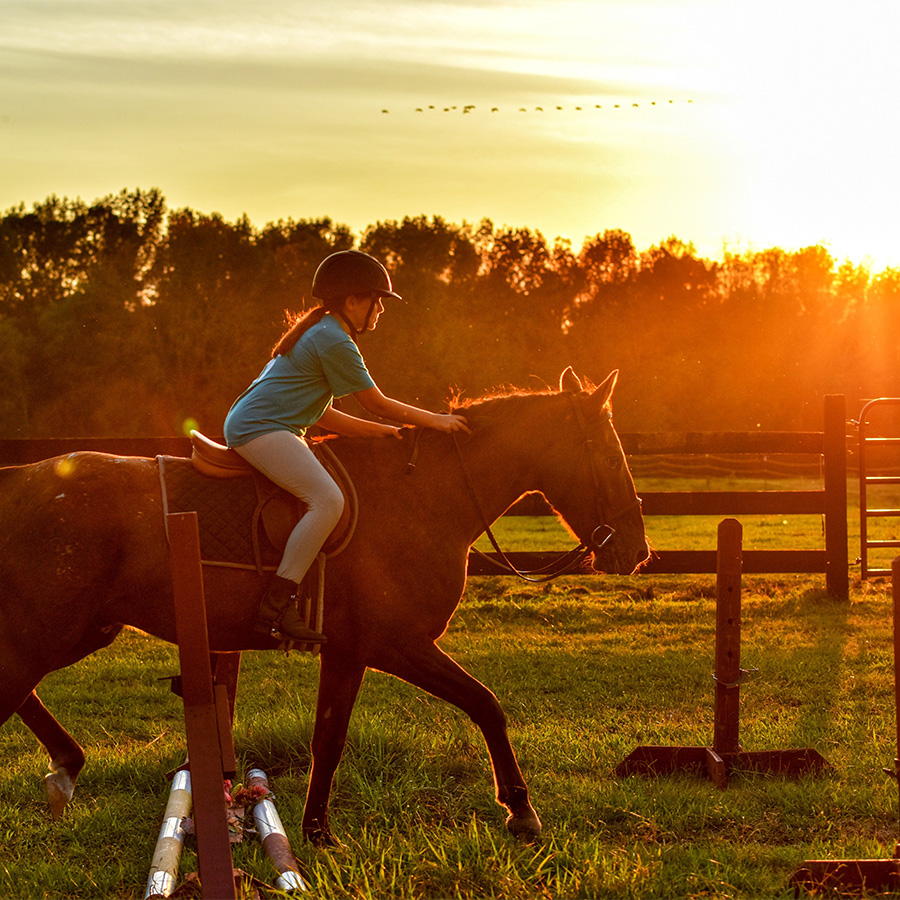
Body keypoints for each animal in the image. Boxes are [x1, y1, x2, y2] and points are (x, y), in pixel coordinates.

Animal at [0, 368, 648, 844]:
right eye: (611, 455)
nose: (637, 551)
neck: (422, 495)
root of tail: (21, 480)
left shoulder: (349, 651)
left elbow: (330, 738)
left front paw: (314, 831)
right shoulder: (393, 644)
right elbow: (484, 705)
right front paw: (520, 810)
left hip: (80, 629)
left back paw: (66, 767)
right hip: (47, 631)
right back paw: (65, 769)